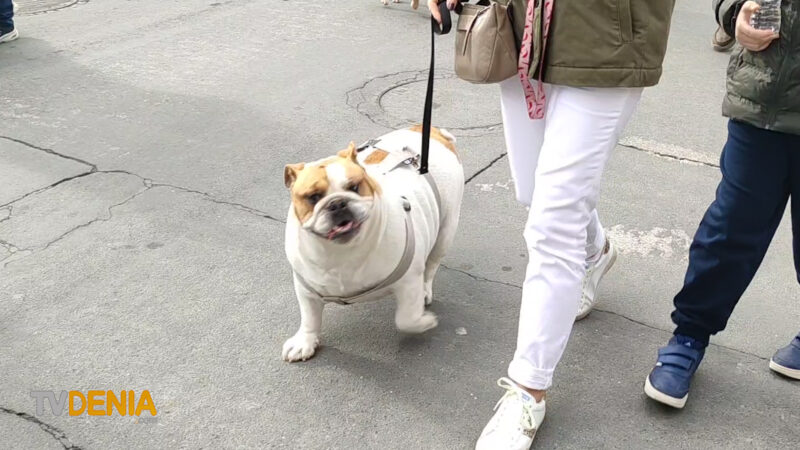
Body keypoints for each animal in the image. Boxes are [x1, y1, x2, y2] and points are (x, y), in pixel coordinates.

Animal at [282, 125, 464, 362]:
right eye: (313, 197)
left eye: (354, 187)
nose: (337, 203)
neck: (341, 252)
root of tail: (430, 131)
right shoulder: (306, 288)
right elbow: (309, 317)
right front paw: (304, 341)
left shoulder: (408, 282)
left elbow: (406, 319)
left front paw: (424, 322)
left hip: (446, 231)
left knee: (431, 266)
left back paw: (425, 291)